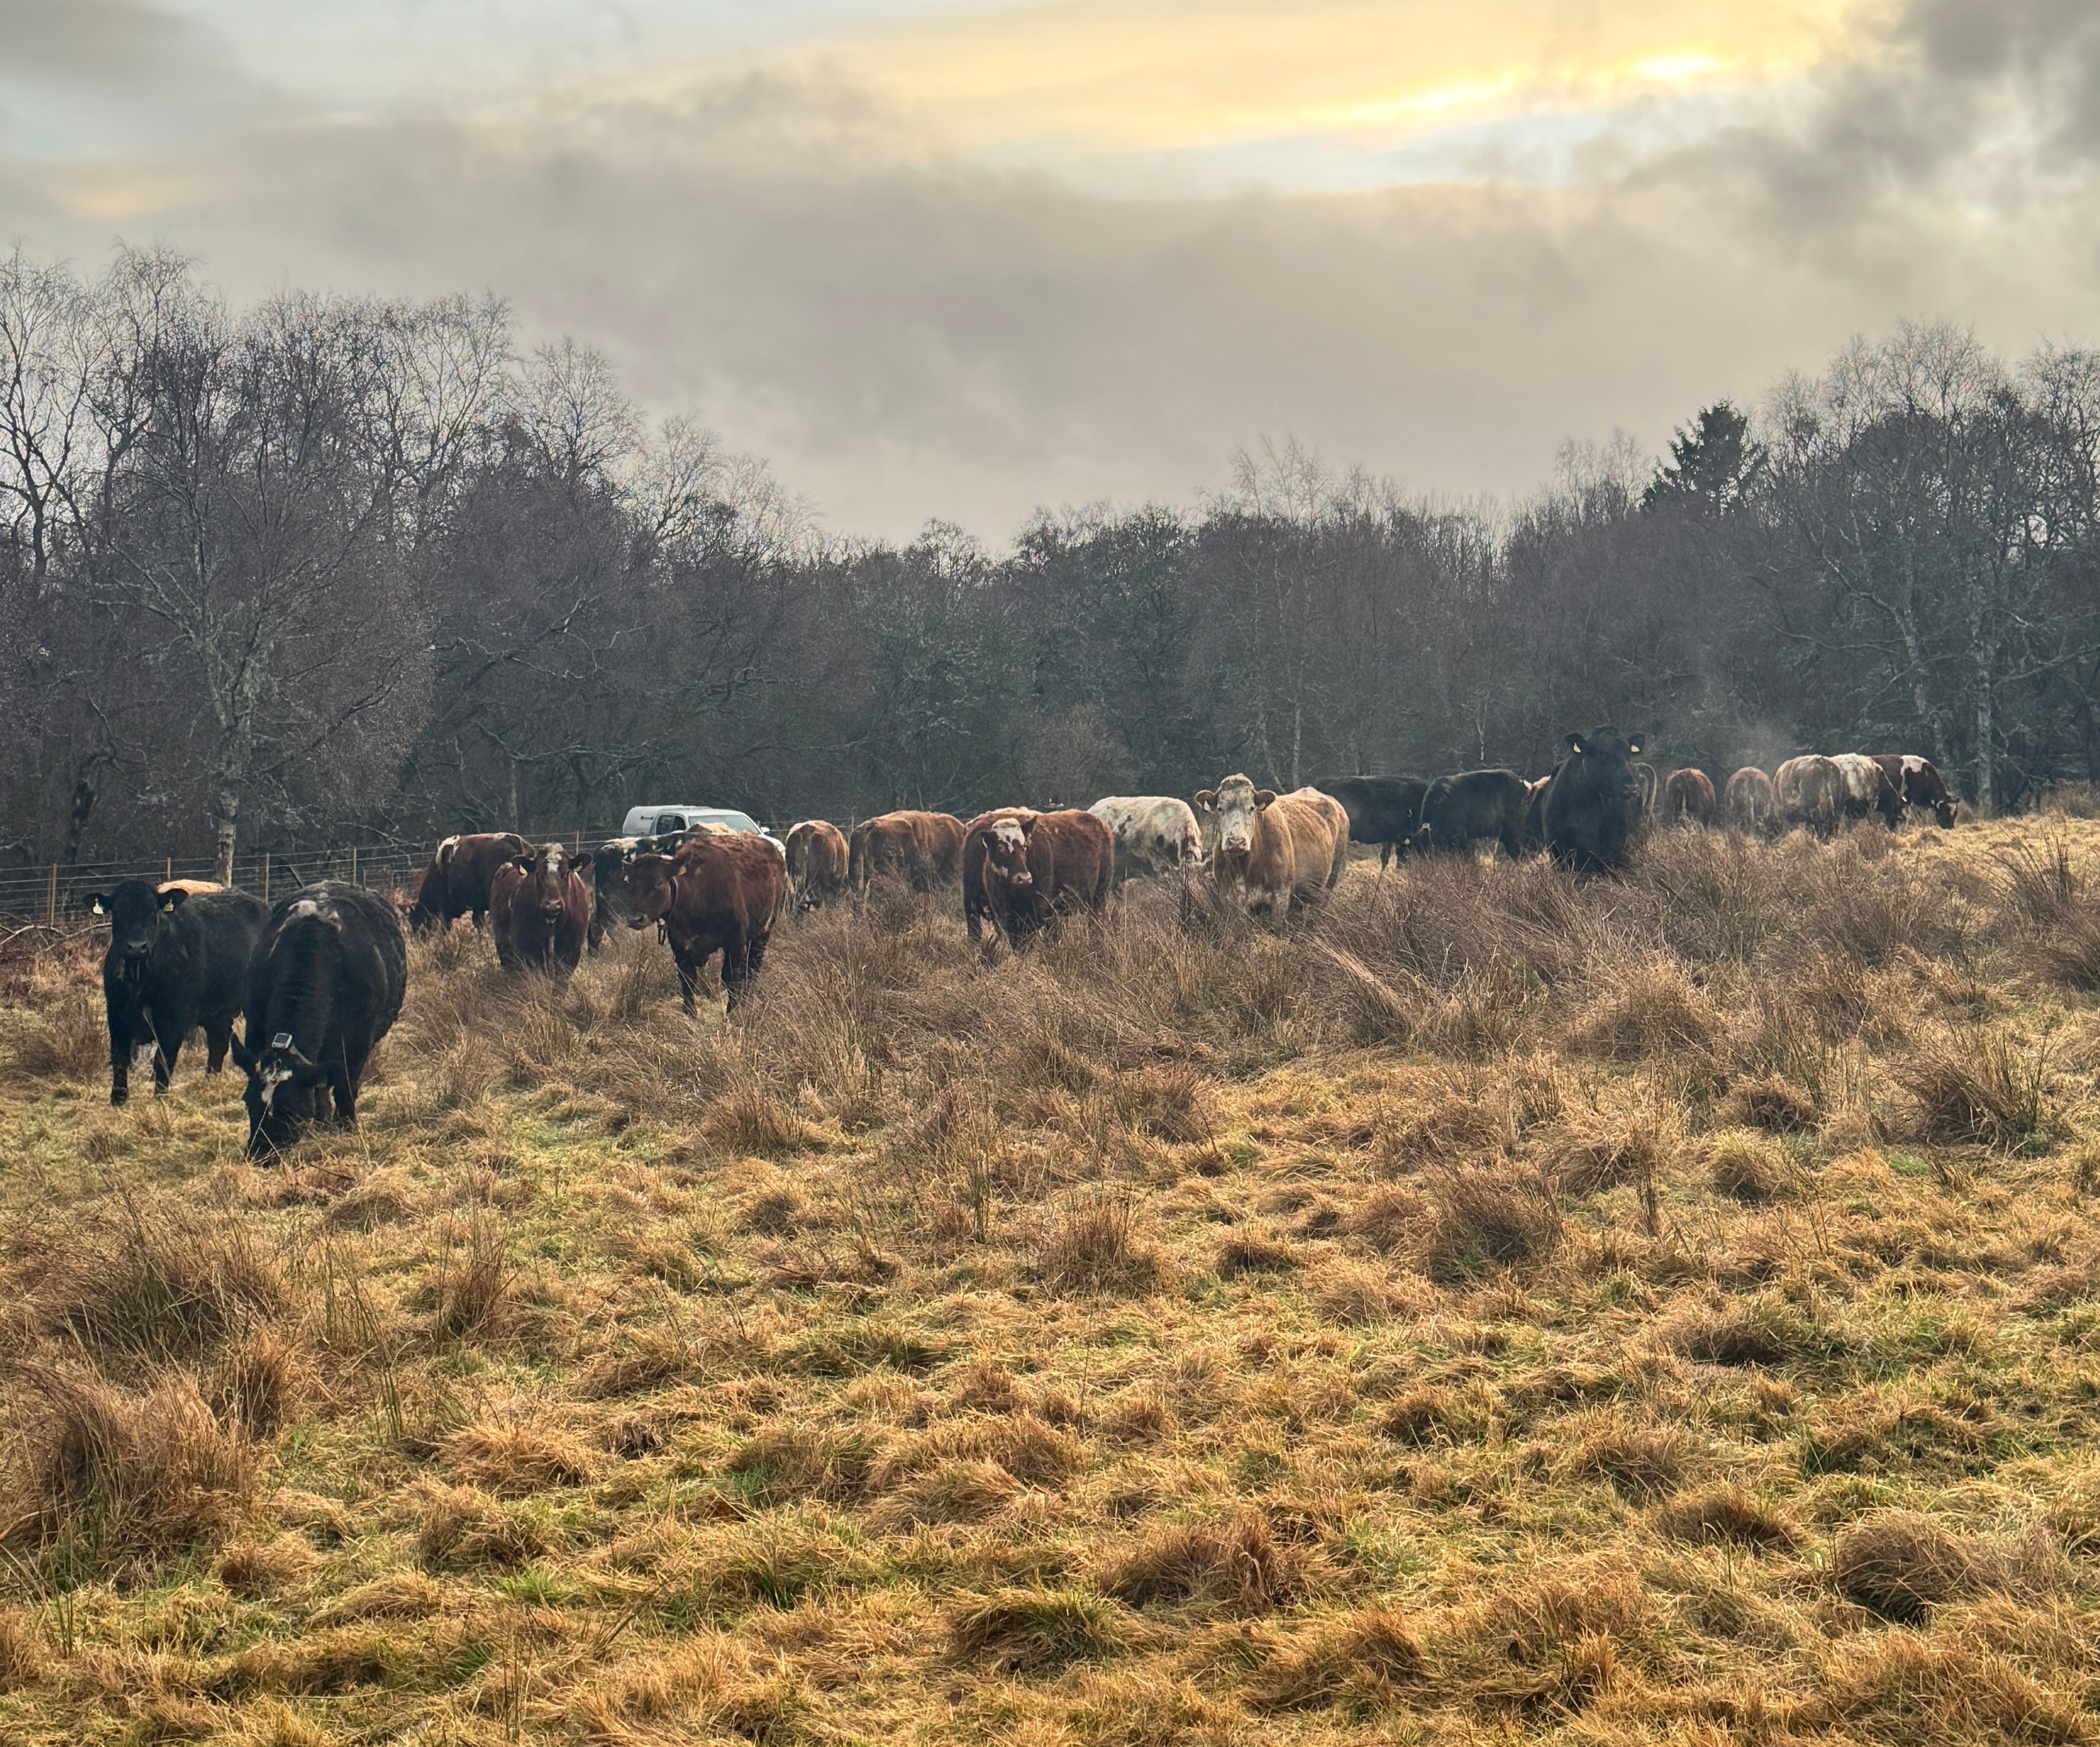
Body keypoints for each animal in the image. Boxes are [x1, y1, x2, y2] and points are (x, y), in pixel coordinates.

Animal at [86, 880, 270, 1107]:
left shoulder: (174, 1018)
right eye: (118, 912)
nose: (137, 947)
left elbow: (163, 1058)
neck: (139, 979)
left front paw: (160, 1098)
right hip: (216, 1010)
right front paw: (118, 1099)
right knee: (218, 1042)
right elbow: (120, 1057)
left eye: (152, 911)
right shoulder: (116, 1013)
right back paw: (210, 1080)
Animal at [233, 883, 407, 1157]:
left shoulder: (359, 1040)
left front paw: (347, 1126)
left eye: (290, 1109)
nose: (260, 1153)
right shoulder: (255, 1029)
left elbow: (346, 1086)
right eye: (248, 1101)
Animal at [622, 832, 785, 1016]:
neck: (696, 894)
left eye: (658, 883)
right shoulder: (680, 945)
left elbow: (731, 977)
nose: (635, 919)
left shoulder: (735, 942)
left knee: (752, 969)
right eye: (631, 884)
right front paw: (689, 1012)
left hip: (762, 933)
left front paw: (732, 1010)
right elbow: (688, 979)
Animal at [963, 809, 1115, 947]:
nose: (1024, 878)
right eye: (1001, 847)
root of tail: (1101, 825)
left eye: (1025, 846)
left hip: (1098, 899)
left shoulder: (1041, 913)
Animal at [1193, 776, 1349, 914]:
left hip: (1327, 885)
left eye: (1251, 808)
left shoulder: (1280, 897)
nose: (1237, 842)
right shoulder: (1229, 899)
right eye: (1220, 809)